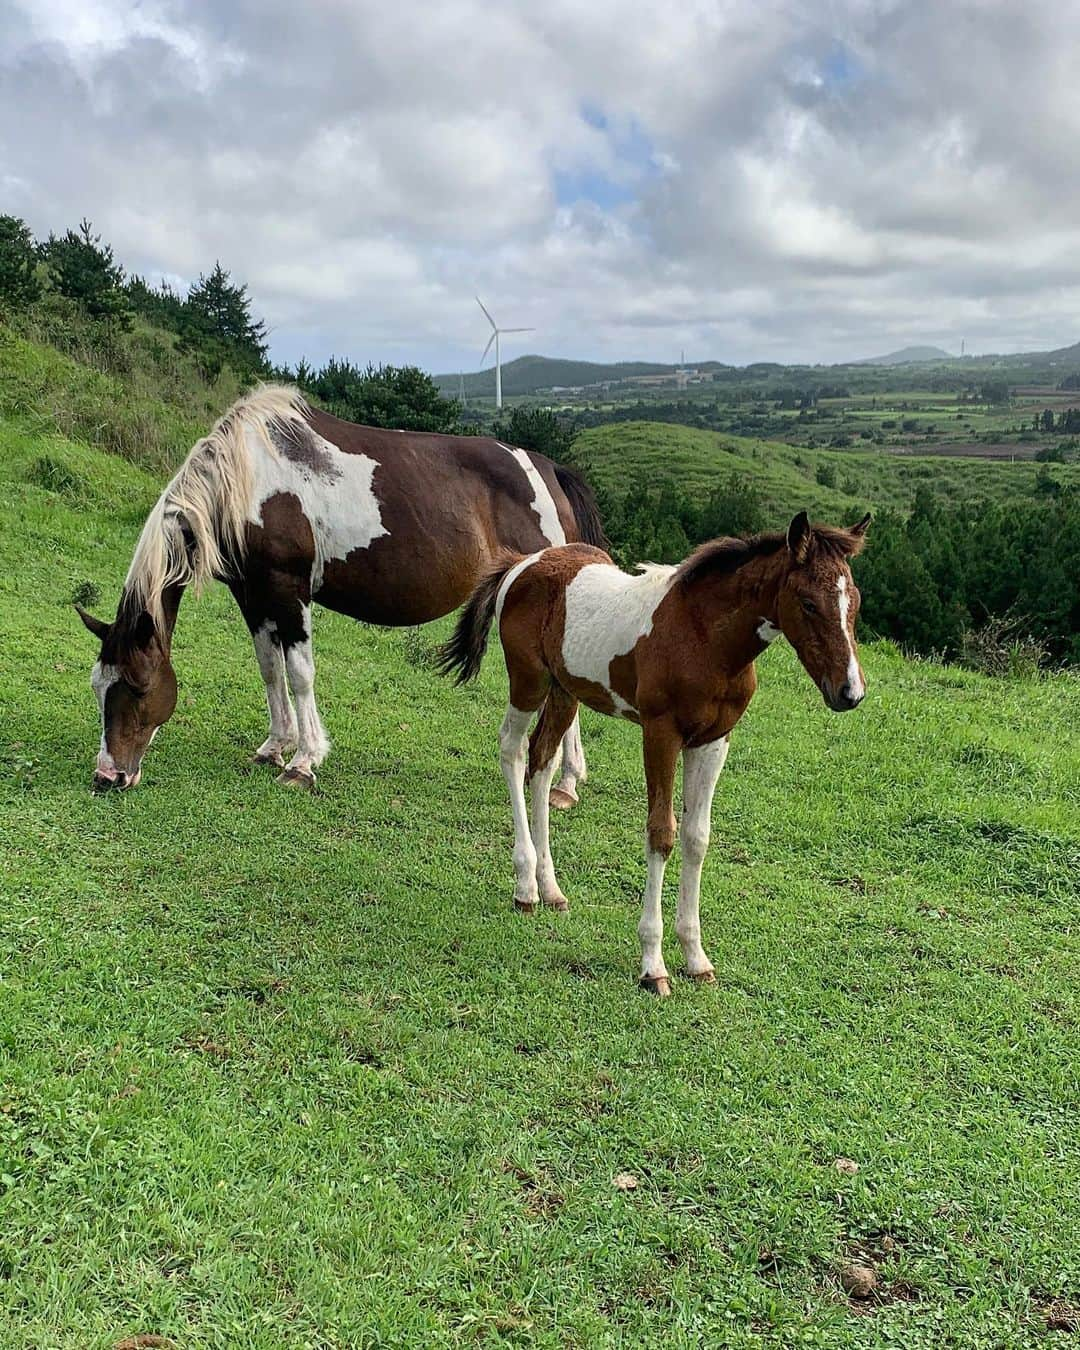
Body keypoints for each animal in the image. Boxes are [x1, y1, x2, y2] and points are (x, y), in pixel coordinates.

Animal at [73, 383, 607, 788]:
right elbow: (270, 669)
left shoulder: (289, 591)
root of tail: (548, 469)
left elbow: (300, 673)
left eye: (139, 686)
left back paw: (564, 781)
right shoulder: (253, 596)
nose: (108, 776)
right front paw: (274, 746)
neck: (248, 480)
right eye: (99, 685)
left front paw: (304, 762)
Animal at [437, 510, 869, 999]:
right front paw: (653, 965)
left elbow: (697, 838)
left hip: (566, 691)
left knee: (542, 762)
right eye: (809, 603)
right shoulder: (661, 734)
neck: (704, 638)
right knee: (511, 751)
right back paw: (525, 886)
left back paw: (550, 889)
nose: (850, 692)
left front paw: (697, 959)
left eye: (854, 602)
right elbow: (662, 833)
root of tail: (523, 563)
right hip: (529, 681)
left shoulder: (713, 741)